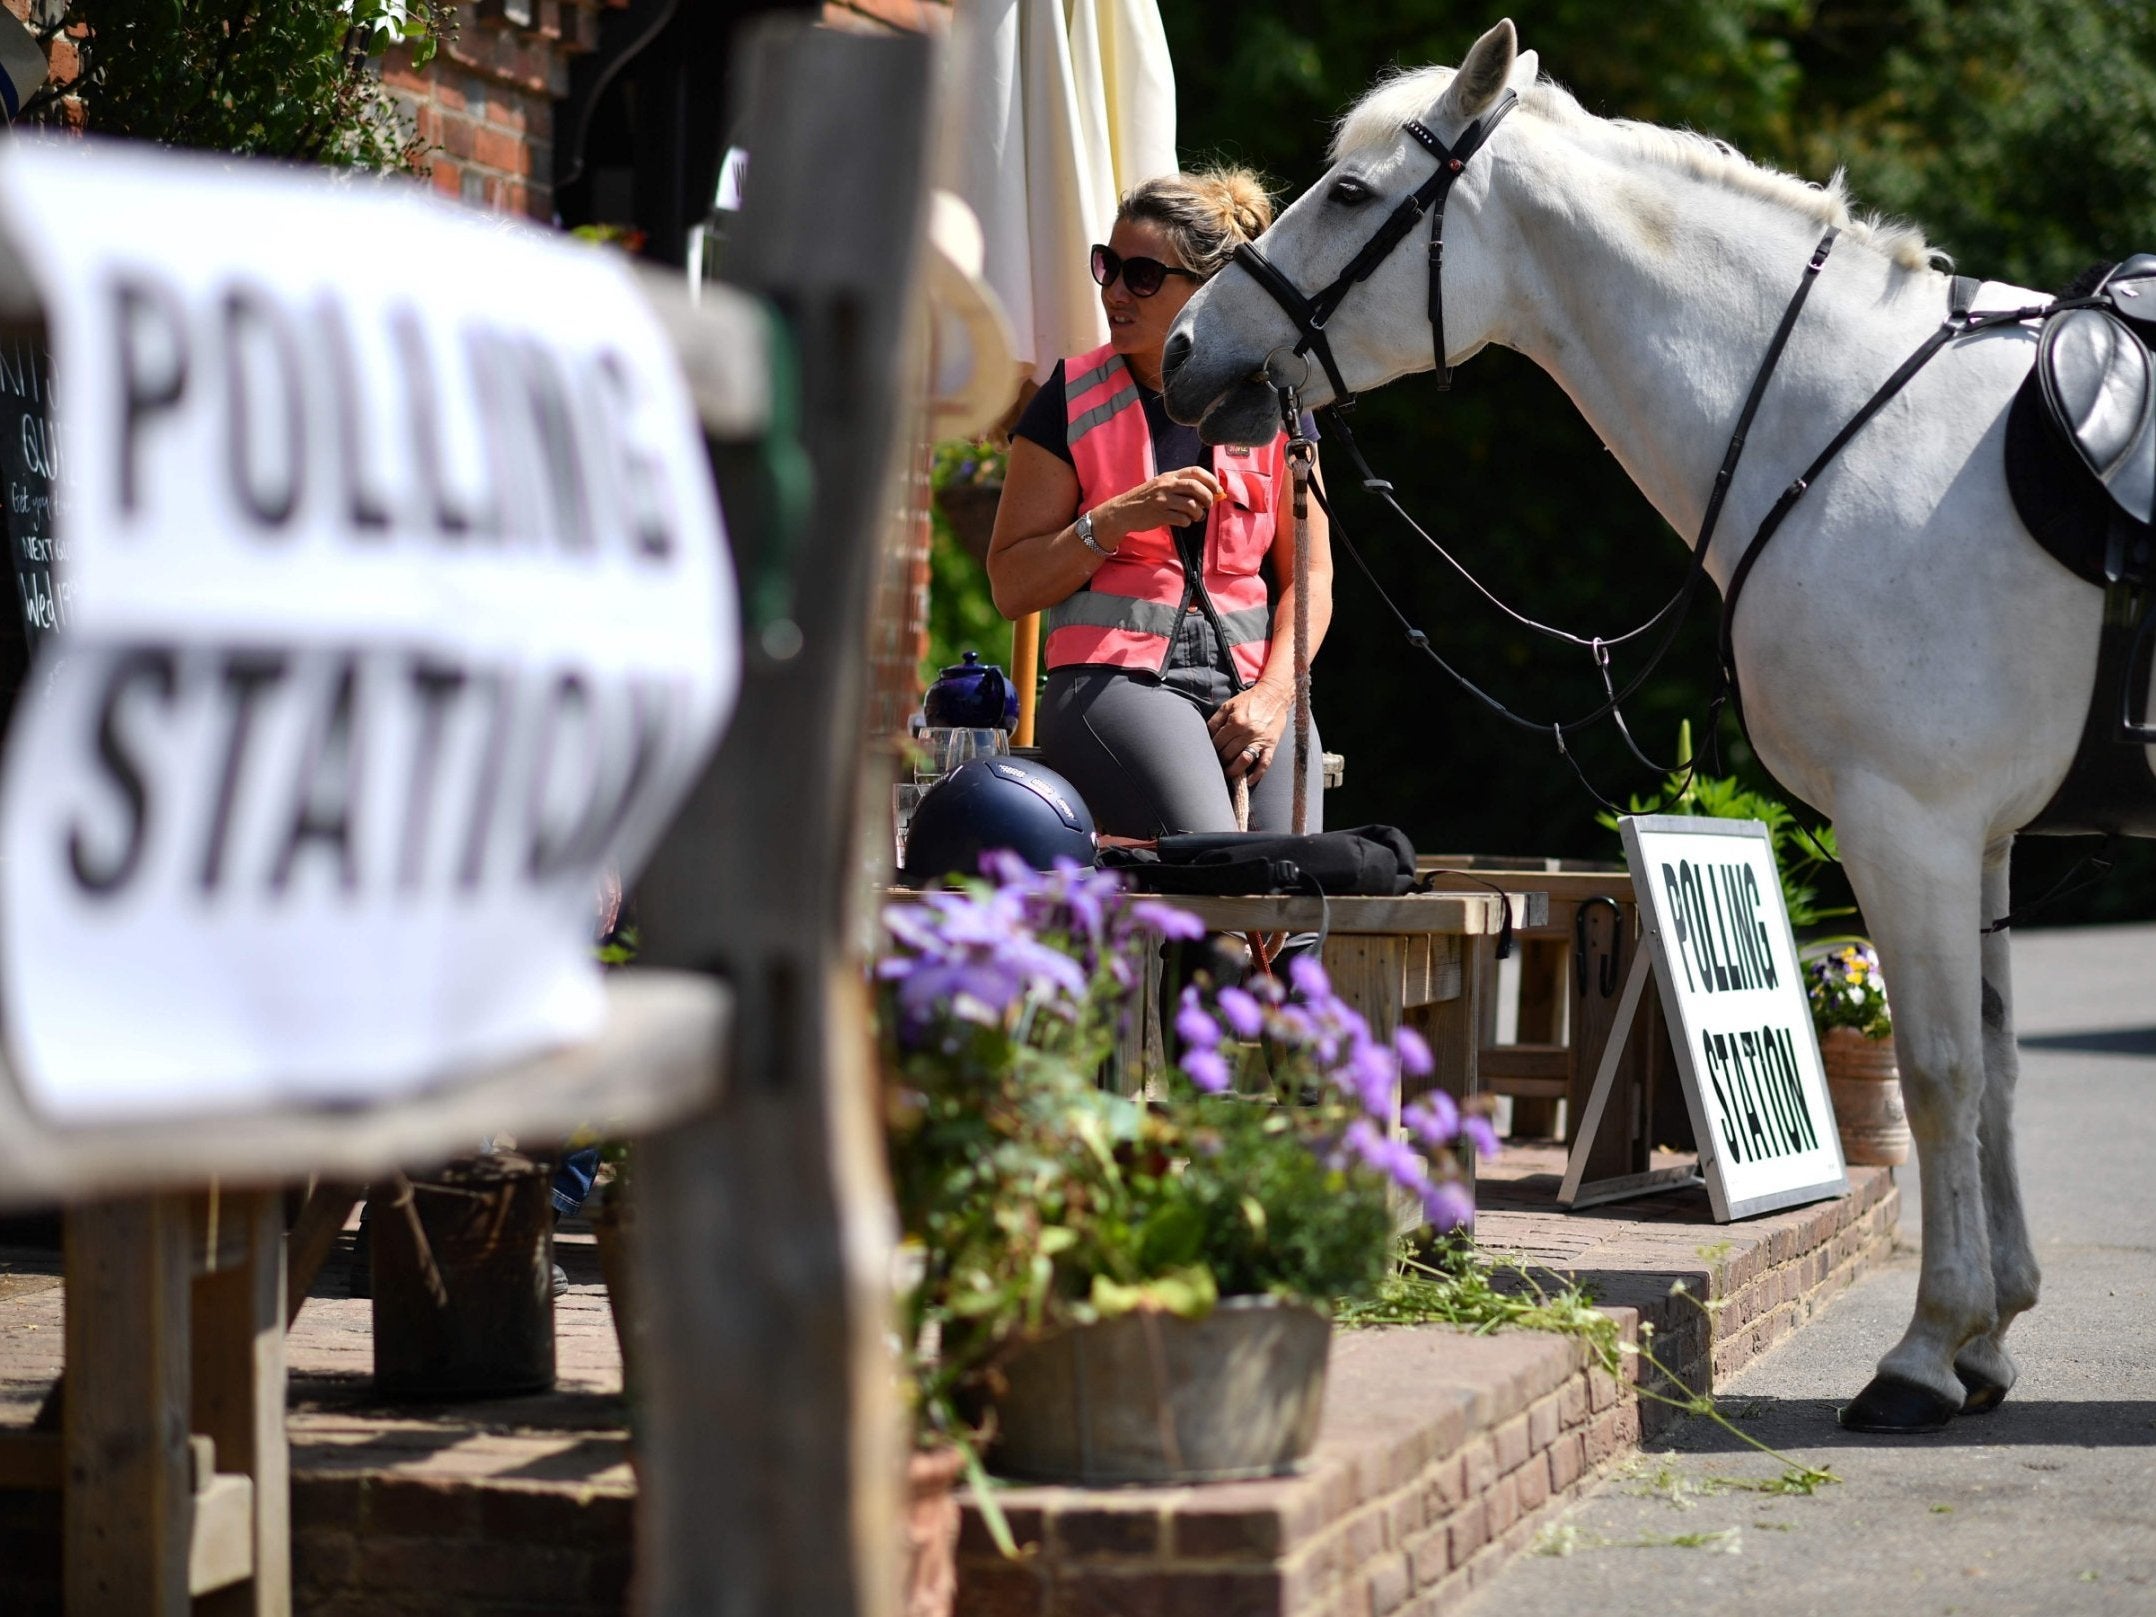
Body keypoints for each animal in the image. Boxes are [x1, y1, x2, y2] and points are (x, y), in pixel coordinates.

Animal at [1164, 15, 2121, 1431]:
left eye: (1345, 193)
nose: (1183, 347)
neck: (1855, 430)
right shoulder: (1980, 839)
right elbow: (1992, 1075)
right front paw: (1987, 1339)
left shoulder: (1911, 828)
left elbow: (1942, 1072)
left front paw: (1921, 1355)